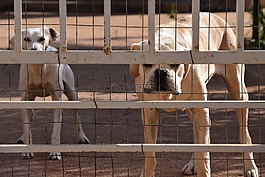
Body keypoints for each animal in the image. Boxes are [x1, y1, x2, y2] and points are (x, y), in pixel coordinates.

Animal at [10, 26, 89, 160]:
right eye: (26, 39)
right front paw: (27, 150)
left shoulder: (57, 99)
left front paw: (55, 153)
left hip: (72, 94)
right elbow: (26, 127)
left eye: (42, 39)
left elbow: (56, 131)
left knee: (77, 117)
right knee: (31, 118)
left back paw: (82, 137)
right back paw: (22, 138)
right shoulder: (25, 99)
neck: (38, 69)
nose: (33, 50)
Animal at [130, 12, 258, 177]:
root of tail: (215, 16)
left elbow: (204, 152)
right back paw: (193, 165)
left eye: (175, 64)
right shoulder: (149, 113)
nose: (161, 72)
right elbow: (150, 153)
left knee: (244, 133)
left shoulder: (201, 110)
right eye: (146, 64)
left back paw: (250, 167)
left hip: (238, 92)